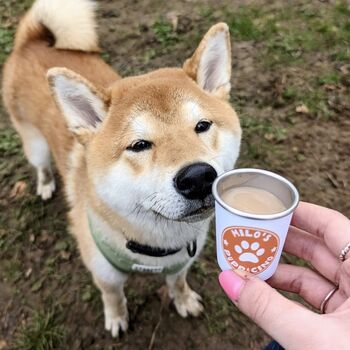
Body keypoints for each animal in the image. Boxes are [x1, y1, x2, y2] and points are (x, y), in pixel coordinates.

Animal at [2, 0, 242, 338]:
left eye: (202, 126)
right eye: (139, 145)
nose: (198, 178)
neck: (155, 247)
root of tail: (32, 41)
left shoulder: (183, 262)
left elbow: (178, 283)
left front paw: (183, 300)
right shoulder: (105, 274)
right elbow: (113, 296)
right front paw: (116, 318)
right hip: (34, 144)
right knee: (42, 166)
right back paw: (46, 184)